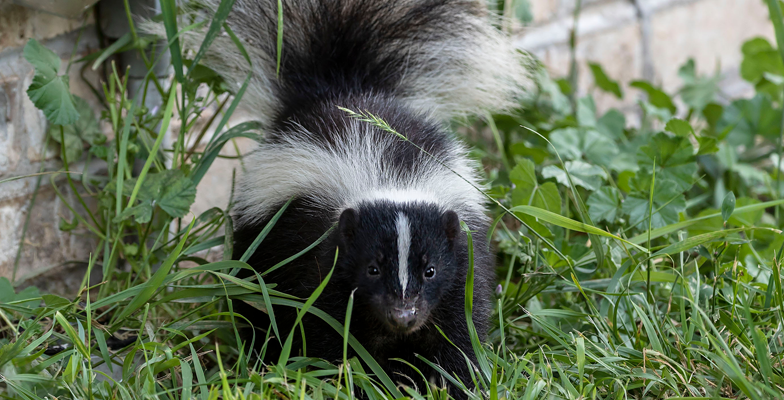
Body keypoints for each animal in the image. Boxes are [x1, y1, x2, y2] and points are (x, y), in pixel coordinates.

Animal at [151, 0, 528, 396]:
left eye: (430, 270)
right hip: (261, 237)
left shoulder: (462, 262)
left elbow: (458, 330)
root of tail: (342, 89)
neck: (390, 179)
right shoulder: (324, 258)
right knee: (254, 298)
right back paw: (259, 352)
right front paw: (348, 381)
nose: (403, 315)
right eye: (372, 268)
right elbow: (328, 327)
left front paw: (455, 384)